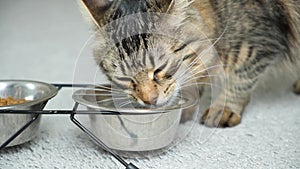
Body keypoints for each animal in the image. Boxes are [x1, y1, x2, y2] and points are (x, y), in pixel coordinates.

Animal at [79, 0, 300, 127]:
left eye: (159, 69)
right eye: (126, 78)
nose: (149, 100)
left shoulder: (257, 44)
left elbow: (240, 79)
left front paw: (224, 108)